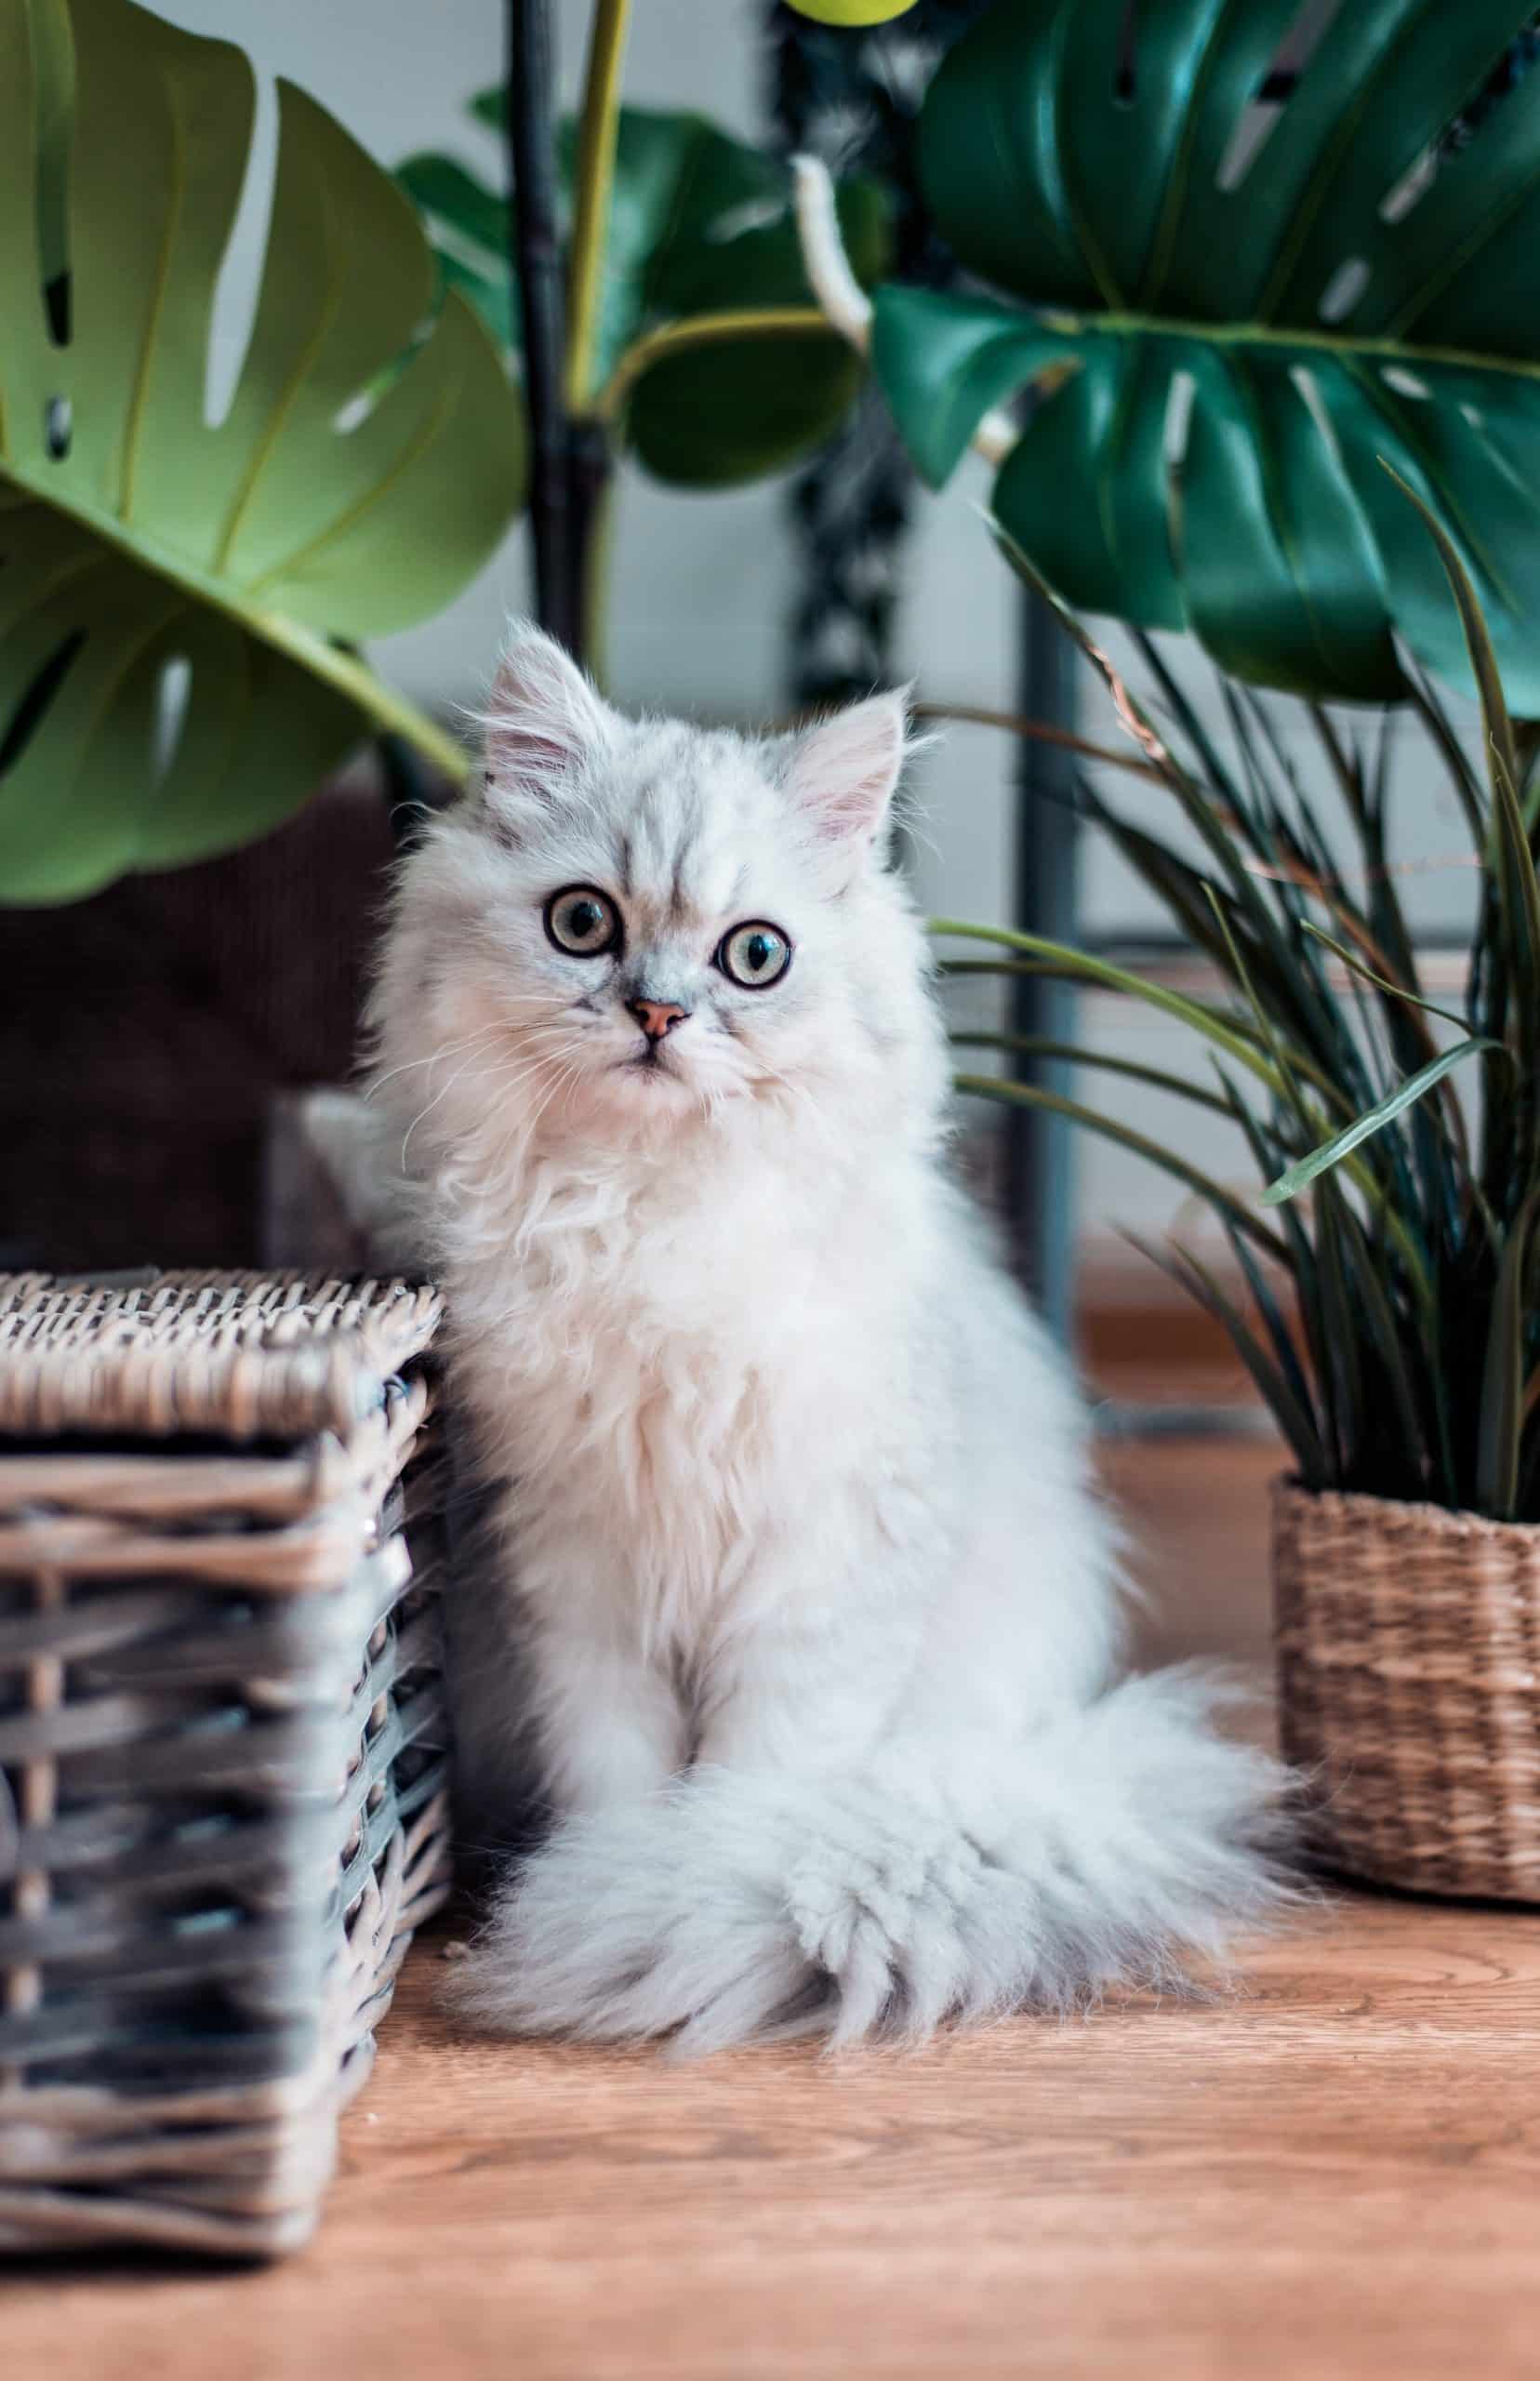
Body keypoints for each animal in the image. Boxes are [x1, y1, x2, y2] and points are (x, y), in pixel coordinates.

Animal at [371, 628, 1285, 2047]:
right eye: (584, 923)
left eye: (755, 956)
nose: (657, 1015)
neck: (652, 1220)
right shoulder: (574, 1578)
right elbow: (617, 1773)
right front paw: (614, 1874)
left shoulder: (818, 1576)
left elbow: (757, 1781)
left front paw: (684, 1882)